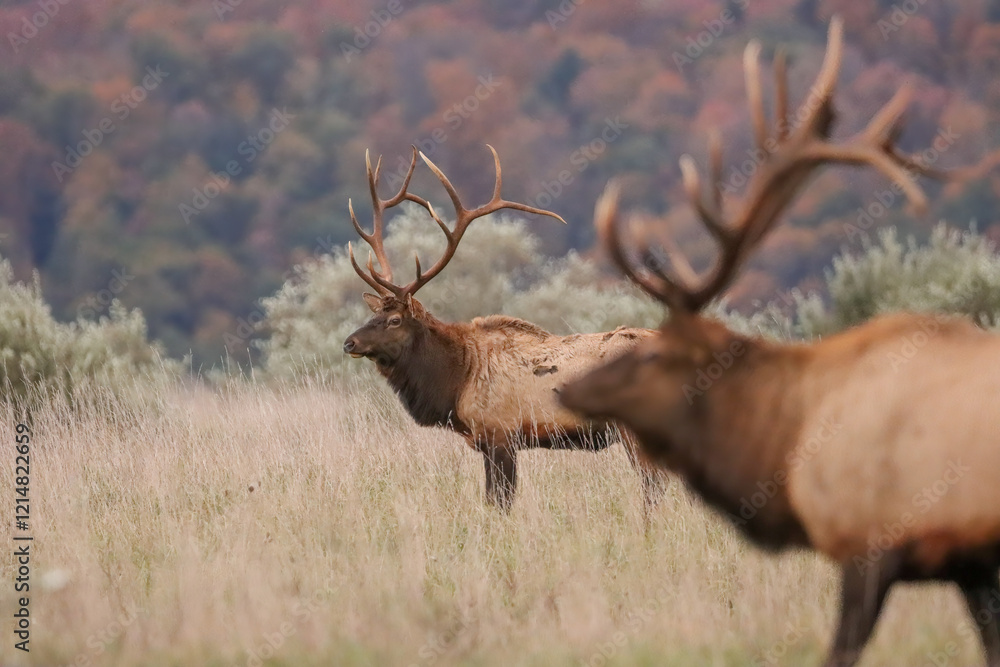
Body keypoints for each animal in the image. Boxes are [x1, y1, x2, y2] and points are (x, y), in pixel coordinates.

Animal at [341, 145, 667, 510]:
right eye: (373, 315)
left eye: (395, 319)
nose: (349, 343)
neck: (457, 380)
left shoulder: (500, 434)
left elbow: (499, 502)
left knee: (653, 485)